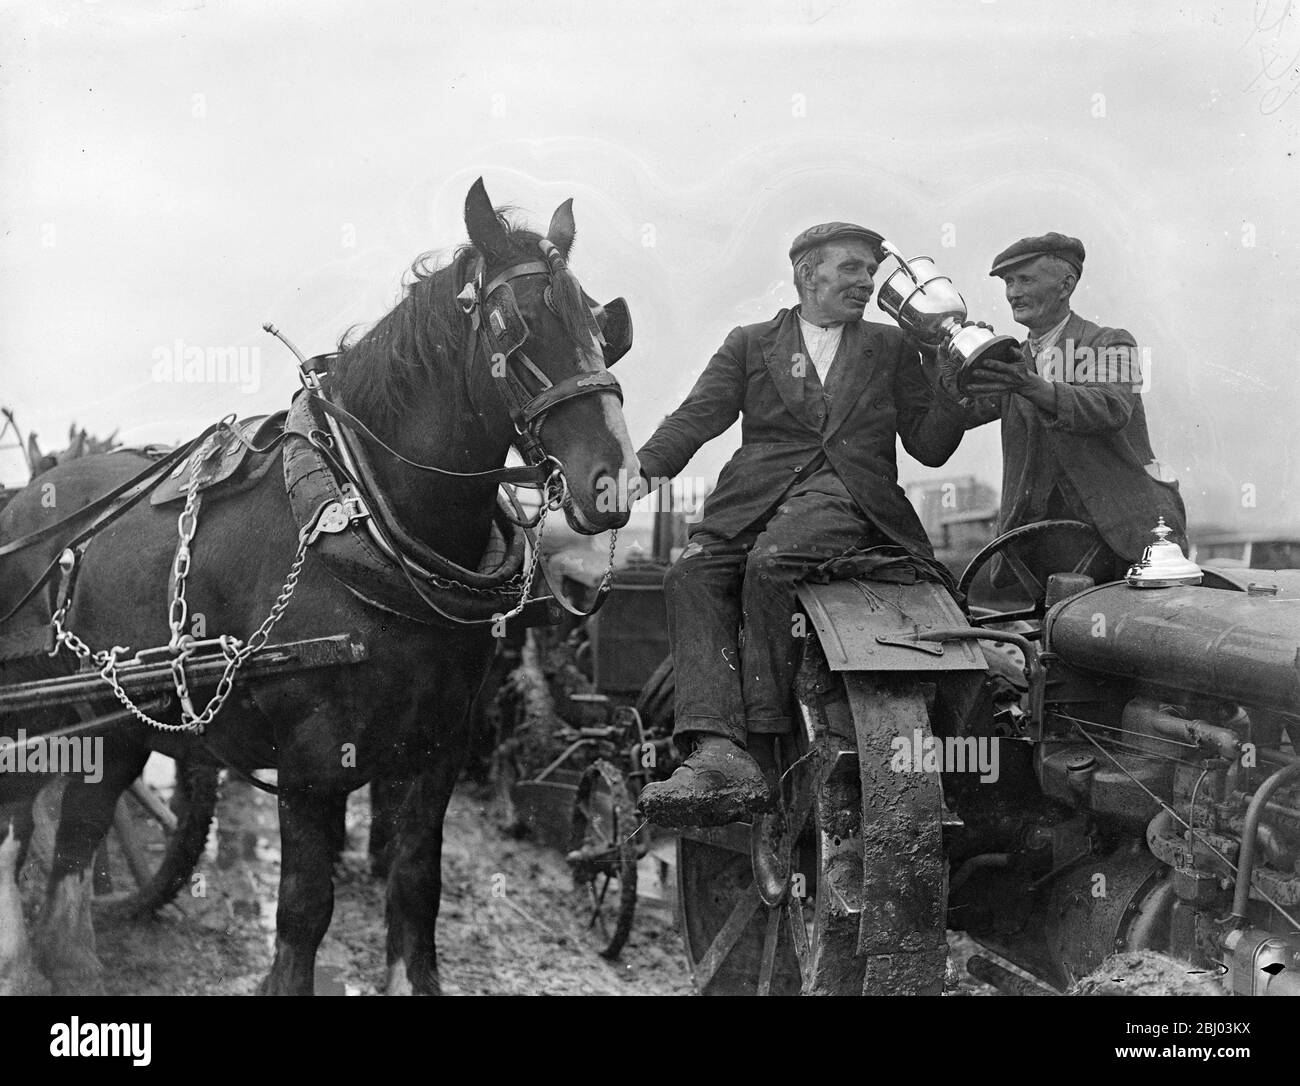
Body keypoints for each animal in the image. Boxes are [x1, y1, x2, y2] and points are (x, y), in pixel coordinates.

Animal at [0, 178, 639, 993]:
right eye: (513, 324)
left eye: (599, 324)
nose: (614, 480)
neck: (370, 524)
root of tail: (27, 500)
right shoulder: (312, 757)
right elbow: (305, 907)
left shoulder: (440, 746)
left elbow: (416, 888)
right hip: (43, 710)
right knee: (26, 821)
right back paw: (28, 959)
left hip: (115, 715)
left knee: (82, 821)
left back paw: (73, 961)